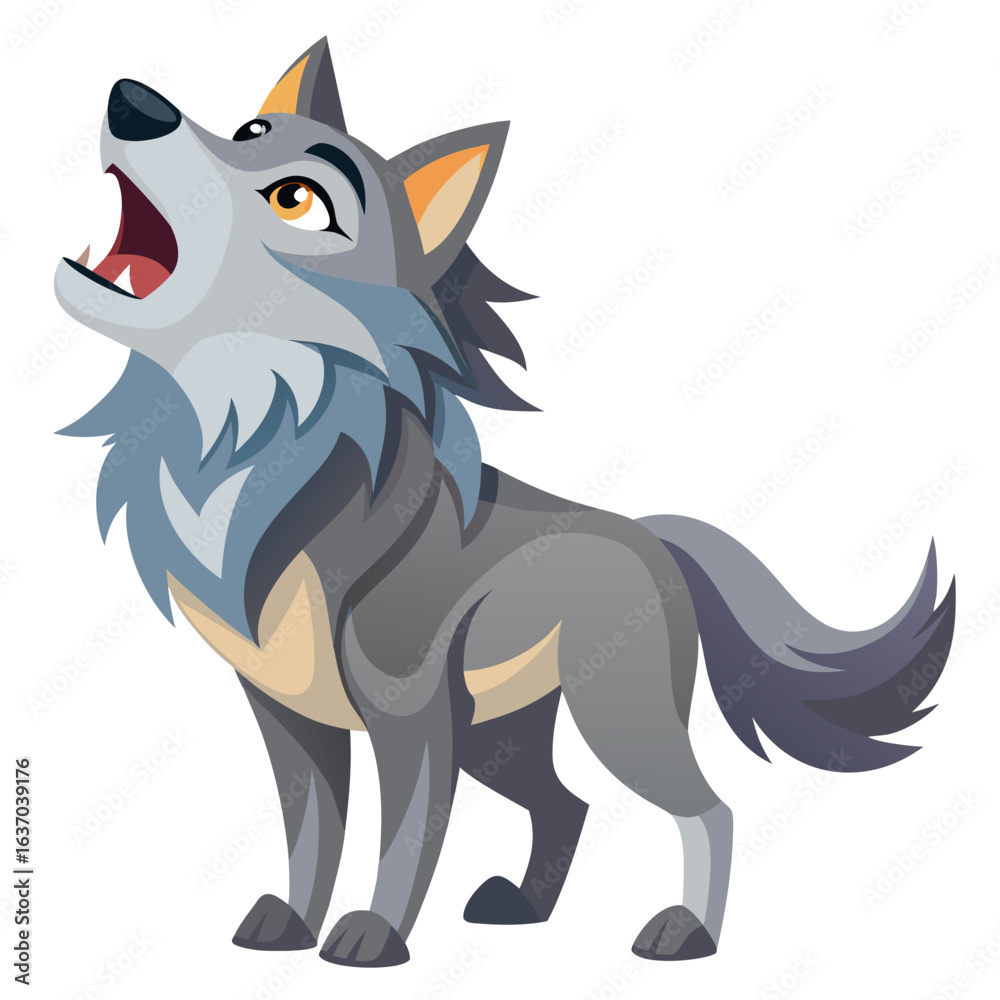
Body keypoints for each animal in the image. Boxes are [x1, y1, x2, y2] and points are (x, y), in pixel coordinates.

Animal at [54, 38, 955, 967]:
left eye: (297, 199)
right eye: (247, 131)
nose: (134, 103)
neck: (246, 440)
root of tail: (650, 538)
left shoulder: (407, 713)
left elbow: (405, 834)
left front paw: (373, 935)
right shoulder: (286, 715)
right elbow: (312, 832)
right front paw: (290, 926)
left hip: (609, 715)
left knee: (708, 808)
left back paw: (686, 932)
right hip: (500, 736)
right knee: (568, 802)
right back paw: (523, 908)